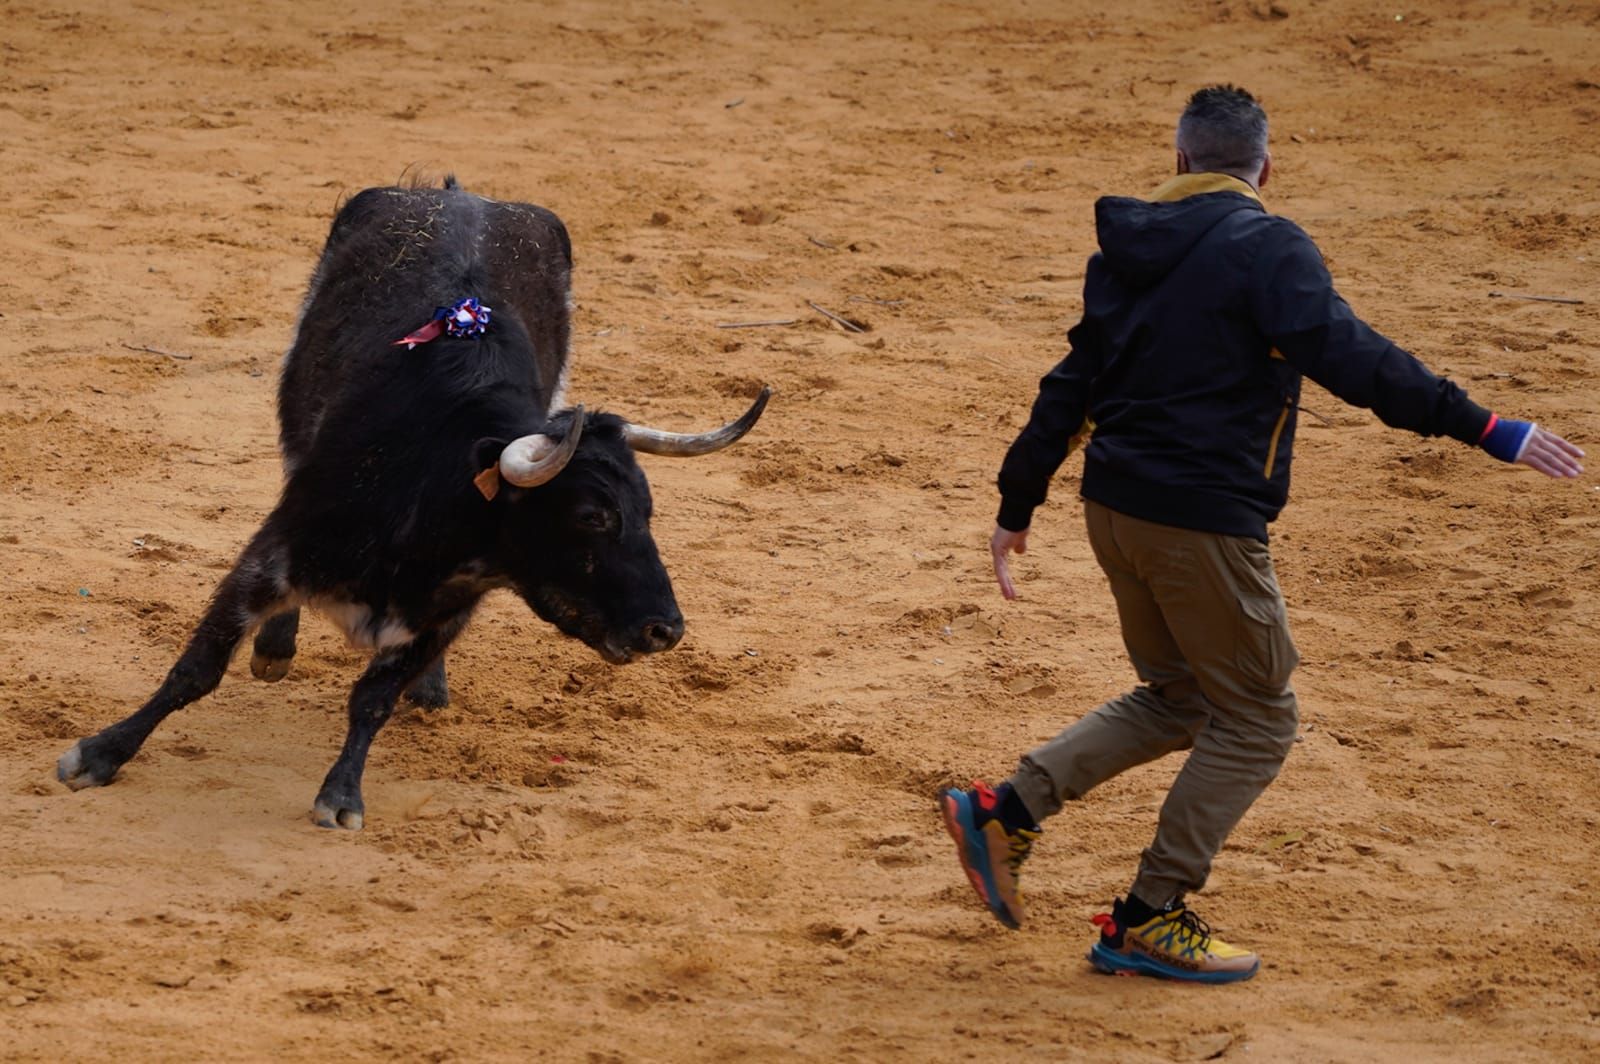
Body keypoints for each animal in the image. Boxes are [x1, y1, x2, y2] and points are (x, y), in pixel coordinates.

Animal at [56, 176, 768, 832]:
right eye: (592, 517)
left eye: (648, 512)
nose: (665, 630)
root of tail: (459, 193)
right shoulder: (271, 555)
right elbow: (196, 668)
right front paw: (100, 753)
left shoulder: (449, 612)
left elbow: (373, 698)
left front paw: (342, 794)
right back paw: (275, 648)